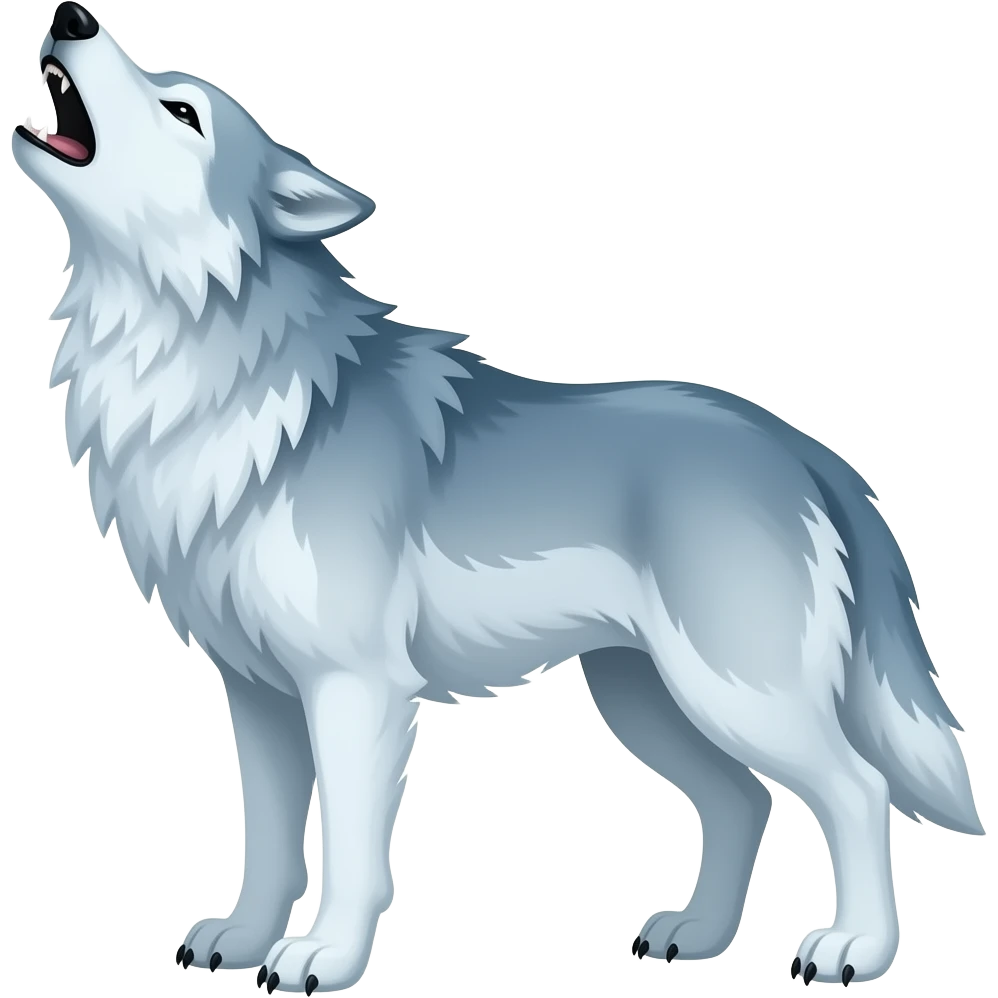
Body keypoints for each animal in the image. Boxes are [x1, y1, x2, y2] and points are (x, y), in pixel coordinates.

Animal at [12, 2, 985, 993]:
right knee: (744, 801)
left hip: (735, 696)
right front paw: (244, 941)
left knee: (859, 790)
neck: (206, 373)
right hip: (647, 700)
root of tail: (805, 449)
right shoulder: (257, 695)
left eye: (183, 111)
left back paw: (855, 948)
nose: (71, 16)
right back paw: (699, 933)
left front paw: (326, 956)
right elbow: (269, 842)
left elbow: (351, 851)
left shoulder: (354, 688)